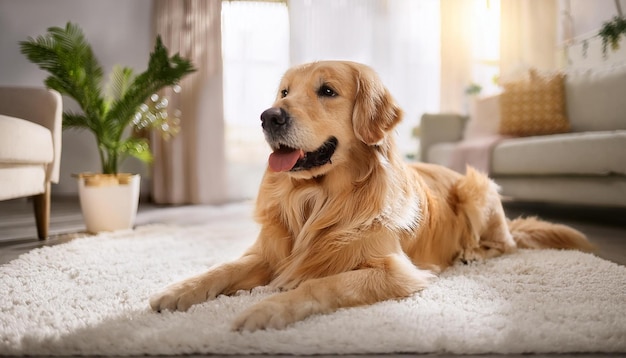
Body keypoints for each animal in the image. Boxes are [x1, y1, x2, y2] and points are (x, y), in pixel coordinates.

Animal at [150, 60, 588, 332]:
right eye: (284, 92)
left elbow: (321, 285)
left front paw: (264, 309)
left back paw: (472, 252)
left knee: (506, 243)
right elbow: (221, 269)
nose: (269, 116)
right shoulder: (270, 253)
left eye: (327, 90)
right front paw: (178, 291)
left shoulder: (397, 272)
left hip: (476, 186)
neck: (318, 200)